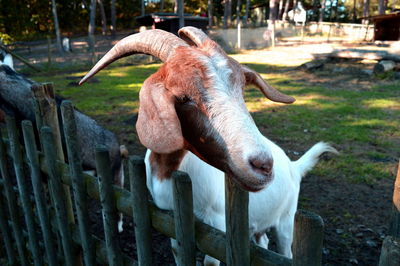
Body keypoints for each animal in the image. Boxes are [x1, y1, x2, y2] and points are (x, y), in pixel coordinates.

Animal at [145, 140, 340, 264]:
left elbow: (211, 260)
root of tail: (294, 166)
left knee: (287, 252)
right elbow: (177, 251)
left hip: (287, 217)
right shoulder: (171, 217)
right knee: (263, 242)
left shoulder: (218, 218)